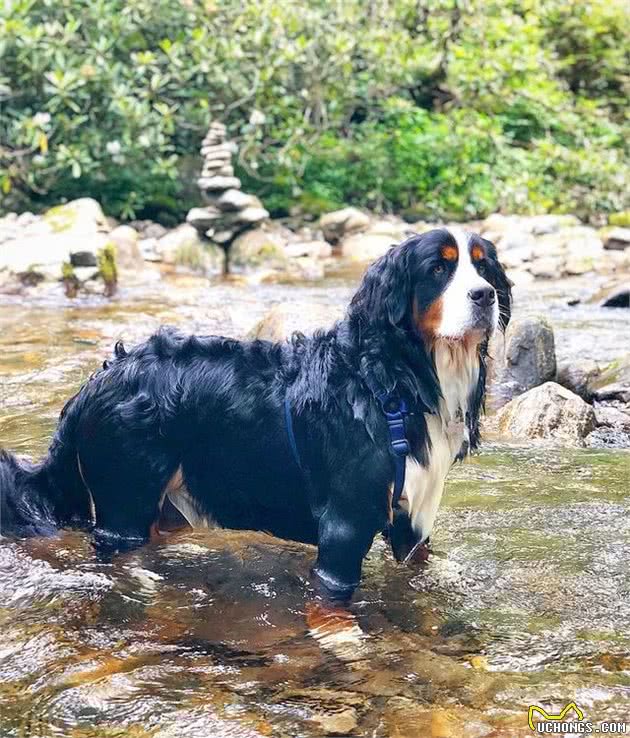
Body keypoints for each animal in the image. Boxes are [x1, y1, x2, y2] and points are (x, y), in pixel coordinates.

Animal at [0, 229, 512, 604]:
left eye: (483, 266)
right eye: (439, 269)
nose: (485, 295)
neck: (390, 379)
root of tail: (98, 380)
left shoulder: (412, 521)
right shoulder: (345, 524)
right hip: (125, 504)